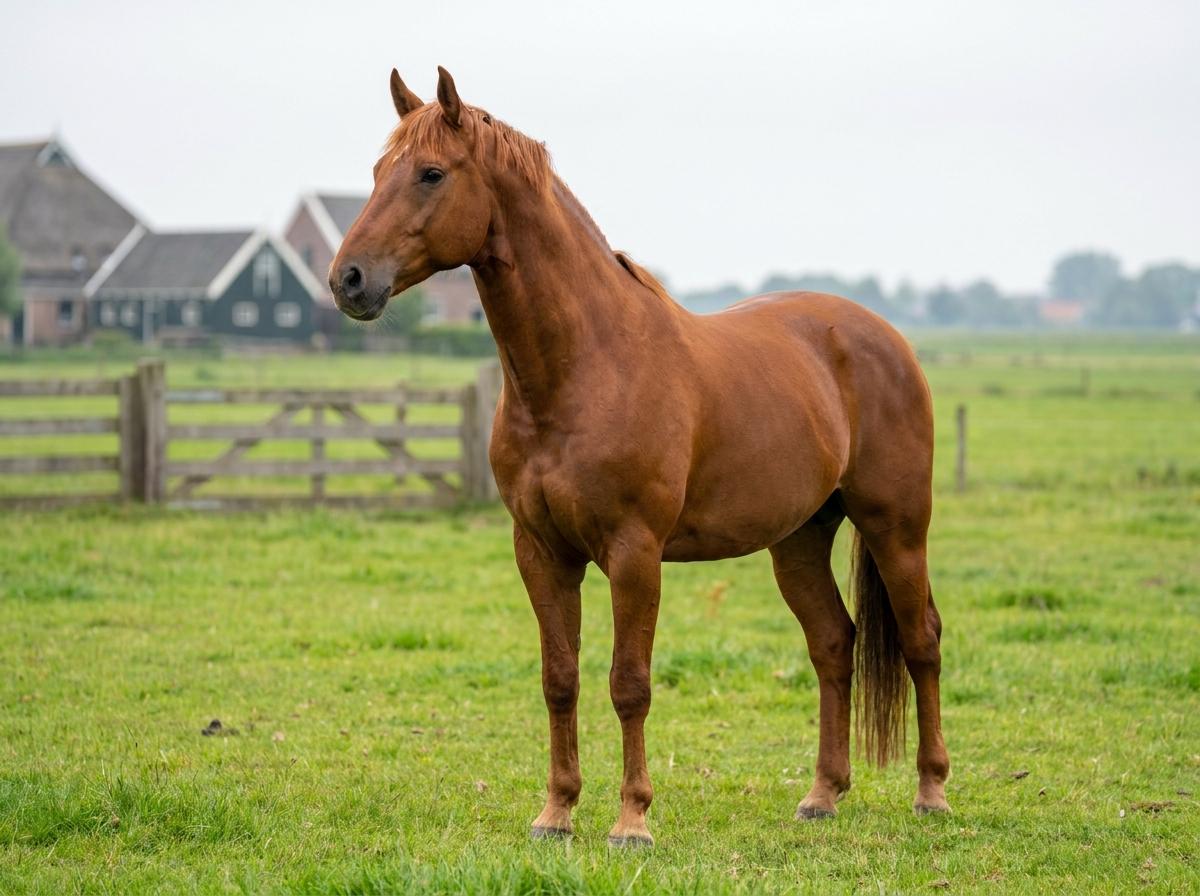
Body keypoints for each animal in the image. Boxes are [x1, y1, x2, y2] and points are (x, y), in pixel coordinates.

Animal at [330, 67, 950, 847]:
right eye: (378, 172)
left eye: (431, 174)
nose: (348, 279)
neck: (585, 366)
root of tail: (882, 336)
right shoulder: (540, 551)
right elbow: (559, 678)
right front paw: (557, 811)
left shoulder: (634, 552)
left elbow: (629, 683)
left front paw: (632, 820)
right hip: (800, 540)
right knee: (834, 644)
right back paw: (822, 795)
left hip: (896, 526)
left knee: (921, 640)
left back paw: (931, 792)